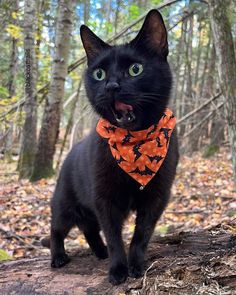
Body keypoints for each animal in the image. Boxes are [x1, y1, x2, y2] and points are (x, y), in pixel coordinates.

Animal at [43, 10, 179, 286]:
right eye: (99, 74)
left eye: (135, 69)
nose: (112, 86)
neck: (135, 141)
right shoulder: (104, 198)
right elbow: (115, 237)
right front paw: (118, 269)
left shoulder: (157, 197)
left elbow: (141, 234)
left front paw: (135, 265)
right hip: (64, 203)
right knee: (57, 229)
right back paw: (59, 257)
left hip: (87, 210)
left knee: (90, 230)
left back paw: (100, 251)